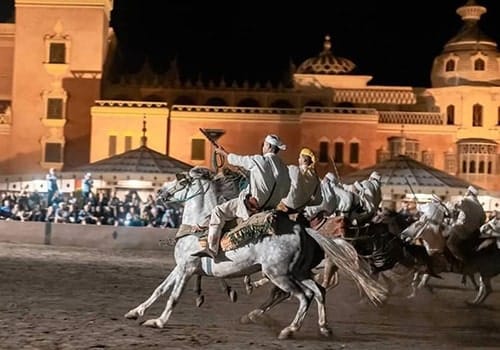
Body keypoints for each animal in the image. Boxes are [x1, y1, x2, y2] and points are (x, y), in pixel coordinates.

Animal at [125, 167, 386, 340]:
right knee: (319, 292)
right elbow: (159, 289)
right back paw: (324, 327)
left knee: (304, 296)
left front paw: (158, 321)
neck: (198, 225)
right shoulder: (179, 267)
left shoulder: (188, 269)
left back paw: (288, 330)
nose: (161, 193)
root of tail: (303, 230)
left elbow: (174, 296)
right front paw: (135, 312)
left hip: (279, 274)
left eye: (181, 181)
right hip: (299, 273)